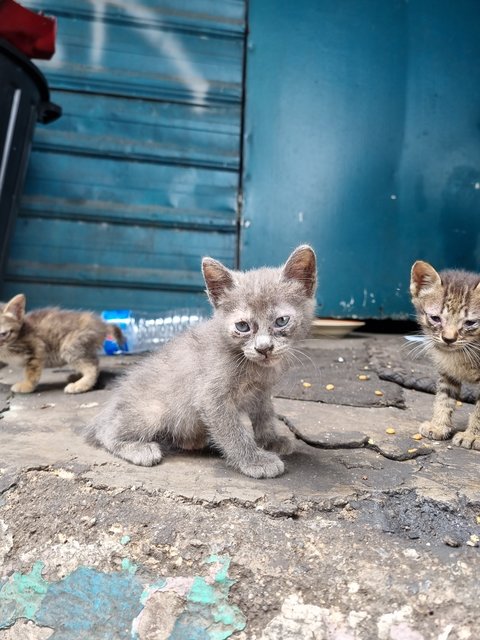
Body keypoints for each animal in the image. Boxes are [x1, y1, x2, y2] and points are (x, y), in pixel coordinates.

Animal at [410, 260, 480, 450]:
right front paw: (438, 426)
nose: (448, 339)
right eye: (435, 318)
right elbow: (443, 398)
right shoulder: (447, 371)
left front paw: (472, 436)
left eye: (470, 323)